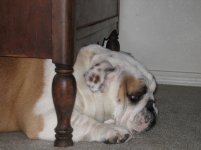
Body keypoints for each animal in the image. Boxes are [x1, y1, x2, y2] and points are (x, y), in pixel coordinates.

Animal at [0, 44, 157, 144]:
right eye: (134, 96)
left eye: (154, 90)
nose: (151, 105)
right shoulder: (42, 116)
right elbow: (85, 121)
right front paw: (113, 130)